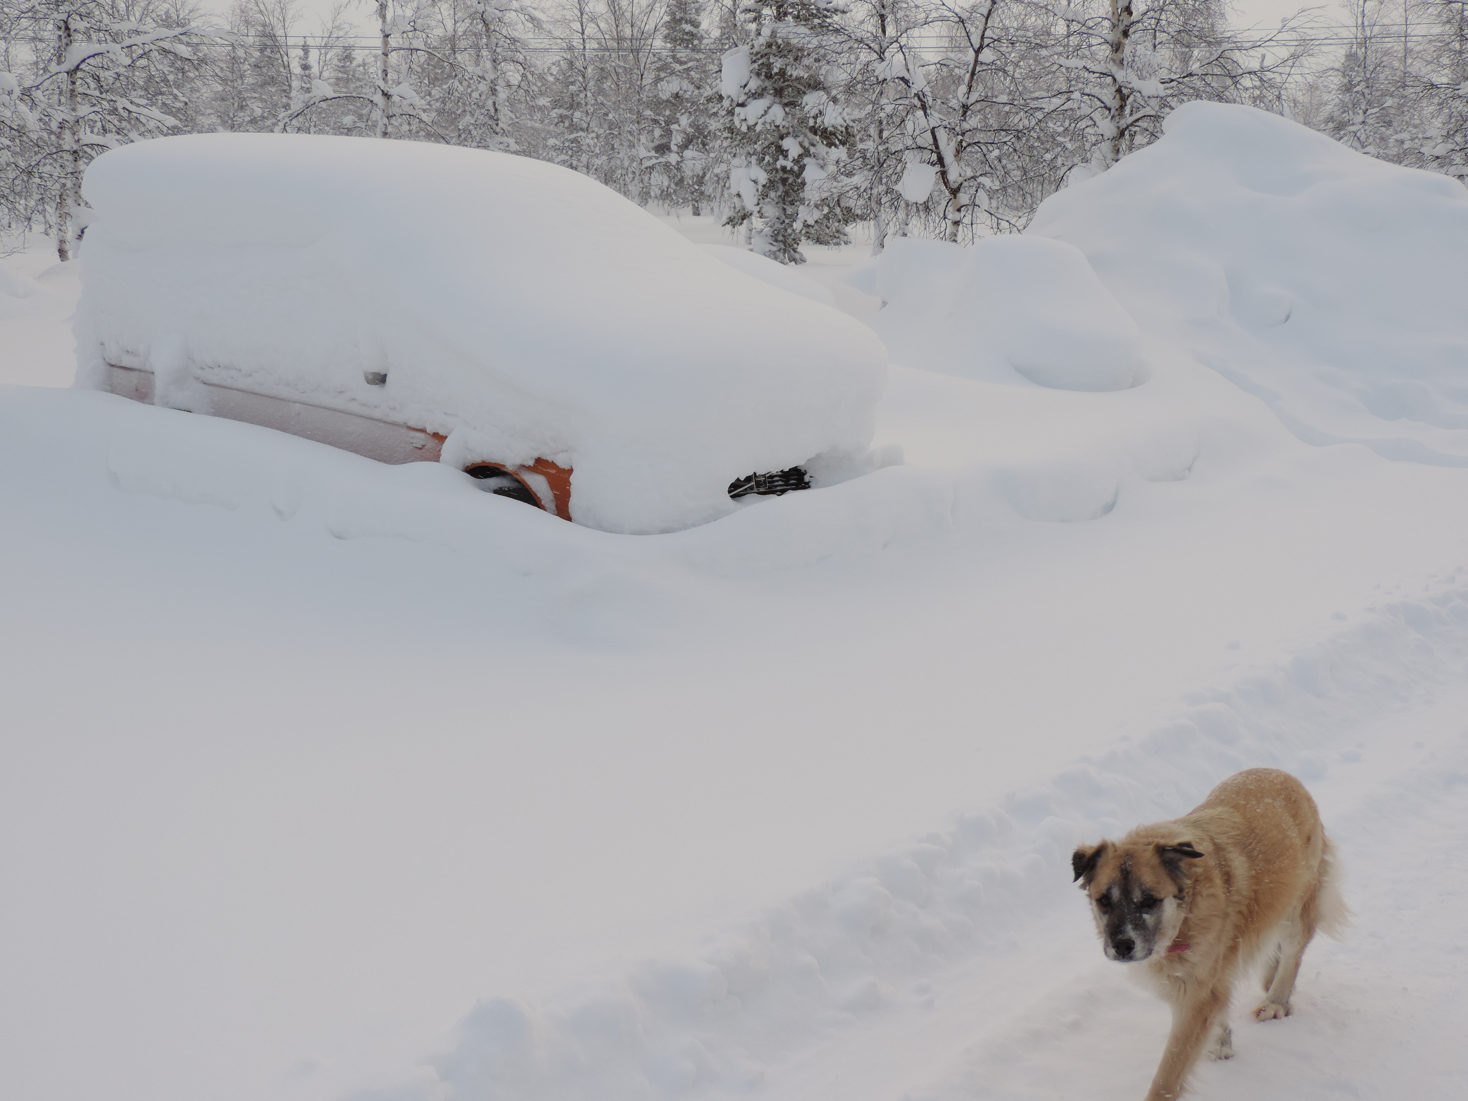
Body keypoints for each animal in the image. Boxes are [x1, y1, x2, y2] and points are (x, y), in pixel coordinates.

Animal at [1074, 769, 1344, 1101]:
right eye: (1104, 900)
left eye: (1149, 901)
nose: (1122, 945)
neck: (1183, 916)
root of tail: (1283, 775)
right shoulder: (1204, 983)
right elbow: (1218, 1006)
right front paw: (1221, 1041)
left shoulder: (1196, 997)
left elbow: (1167, 1077)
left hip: (1297, 905)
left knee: (1293, 954)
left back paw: (1276, 1001)